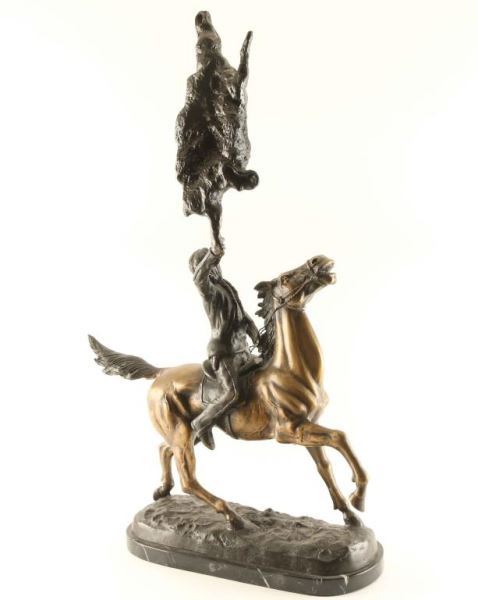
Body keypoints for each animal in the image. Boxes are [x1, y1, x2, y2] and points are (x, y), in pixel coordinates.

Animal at [89, 254, 368, 529]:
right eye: (286, 277)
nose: (319, 260)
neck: (290, 370)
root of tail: (161, 373)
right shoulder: (288, 430)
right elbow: (339, 437)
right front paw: (358, 497)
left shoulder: (307, 425)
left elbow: (324, 466)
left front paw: (349, 514)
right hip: (182, 433)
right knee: (188, 479)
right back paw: (233, 517)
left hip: (190, 433)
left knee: (164, 449)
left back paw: (163, 491)